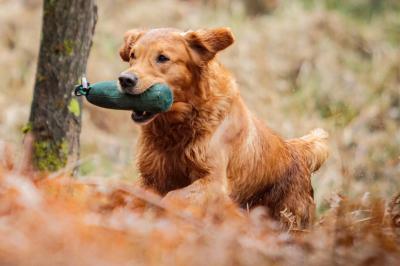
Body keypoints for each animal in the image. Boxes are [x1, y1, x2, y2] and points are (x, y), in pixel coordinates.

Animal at [118, 26, 328, 227]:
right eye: (133, 56)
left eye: (162, 58)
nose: (125, 79)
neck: (178, 126)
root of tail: (297, 149)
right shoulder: (151, 176)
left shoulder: (215, 182)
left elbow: (175, 195)